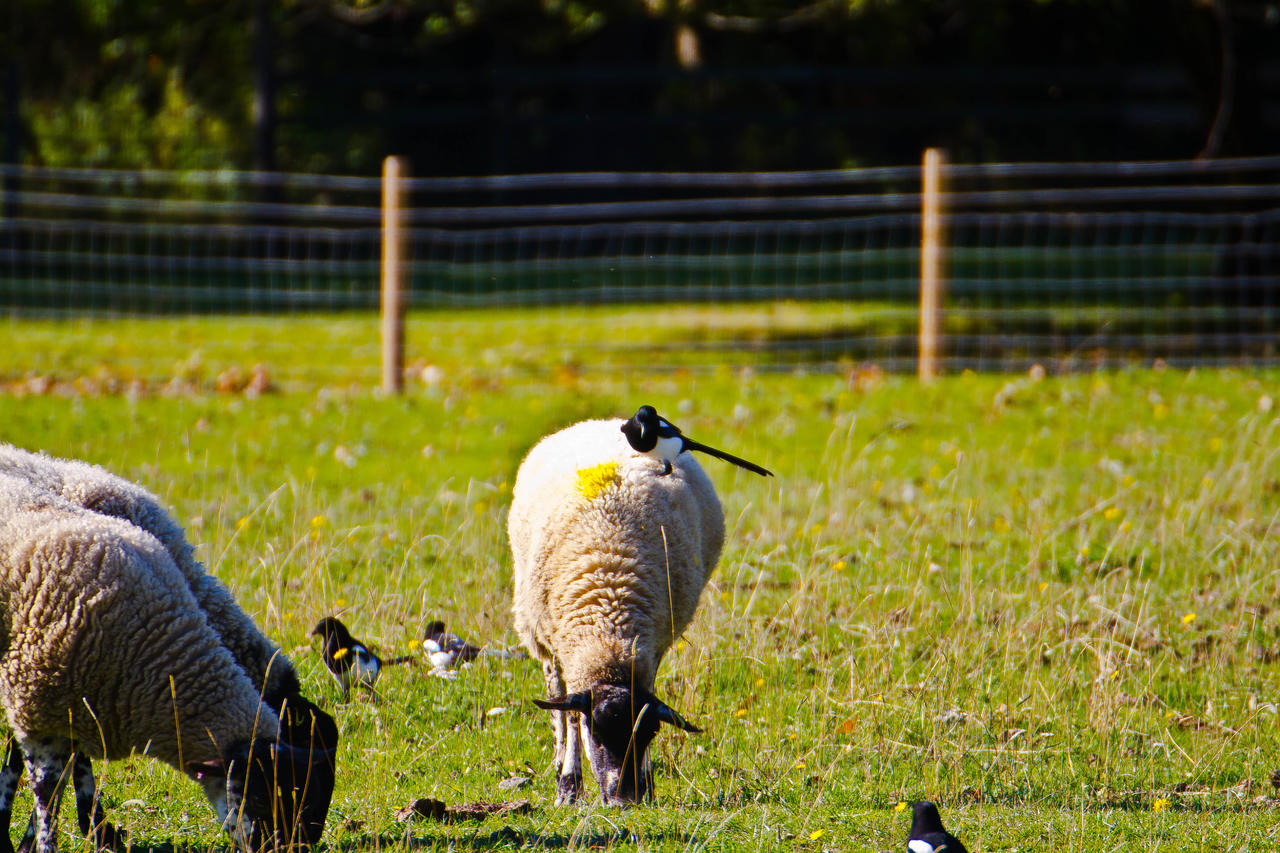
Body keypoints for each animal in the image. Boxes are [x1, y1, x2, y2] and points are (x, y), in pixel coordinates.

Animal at [512, 417, 732, 804]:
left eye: (649, 735)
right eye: (597, 733)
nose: (624, 799)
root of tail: (601, 422)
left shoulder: (652, 648)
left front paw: (647, 781)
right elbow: (571, 716)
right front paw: (569, 786)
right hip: (537, 625)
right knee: (555, 691)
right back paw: (558, 759)